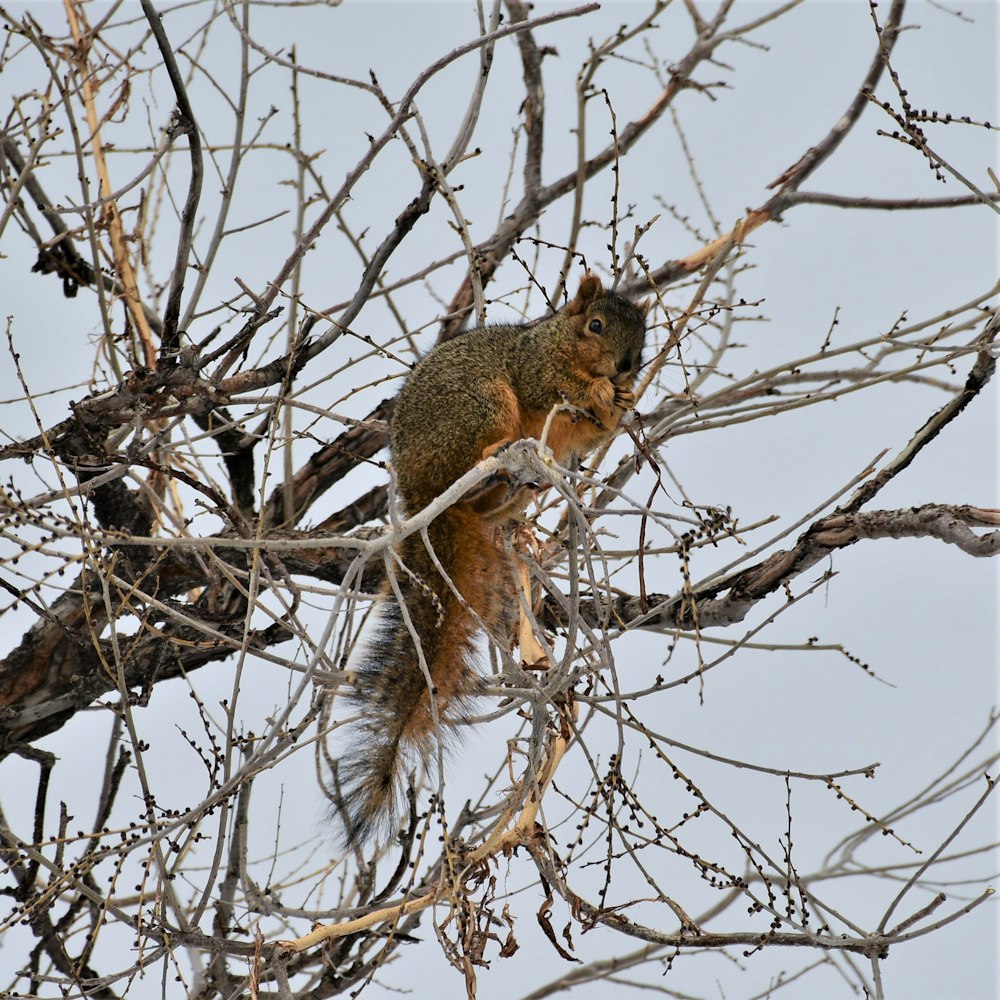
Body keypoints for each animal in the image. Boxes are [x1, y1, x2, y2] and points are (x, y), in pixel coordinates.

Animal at [336, 274, 648, 844]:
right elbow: (553, 389)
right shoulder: (535, 369)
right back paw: (492, 457)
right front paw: (598, 392)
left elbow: (600, 427)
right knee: (474, 449)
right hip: (479, 403)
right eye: (595, 325)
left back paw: (503, 489)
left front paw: (624, 398)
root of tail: (418, 489)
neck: (560, 342)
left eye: (642, 341)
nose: (625, 366)